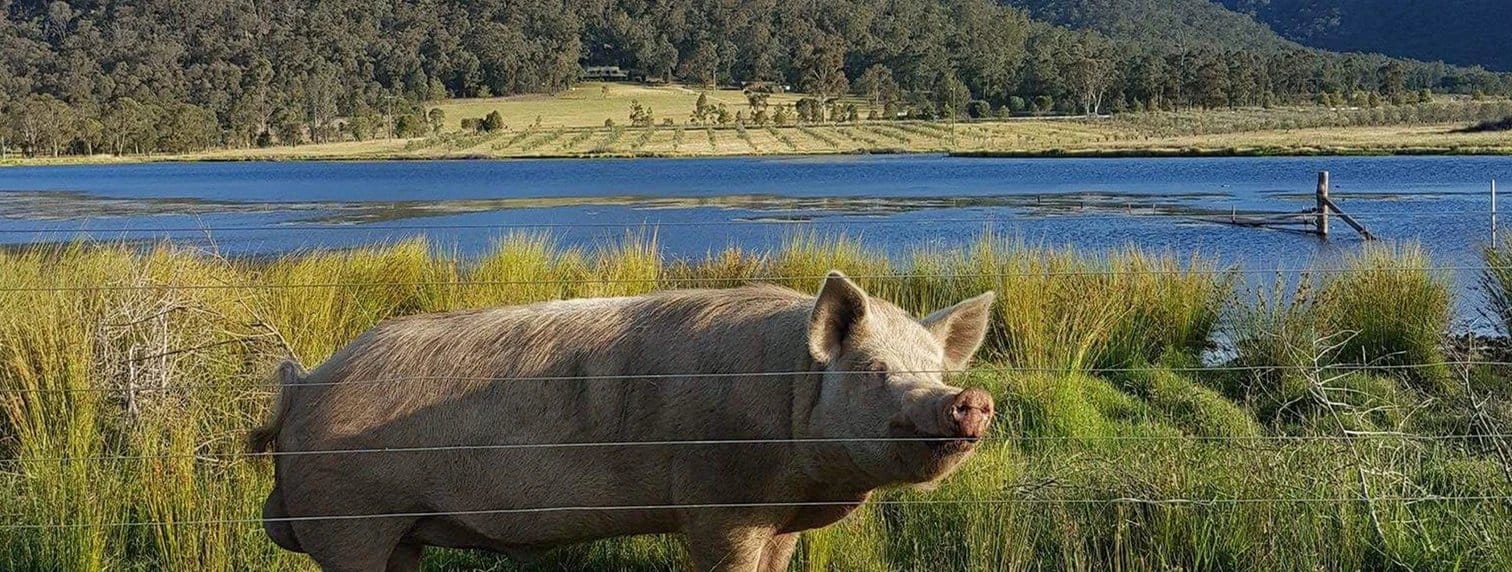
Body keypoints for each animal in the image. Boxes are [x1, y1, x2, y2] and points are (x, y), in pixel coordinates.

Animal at [248, 271, 996, 571]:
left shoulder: (782, 520)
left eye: (935, 368)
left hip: (398, 531)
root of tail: (302, 386)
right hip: (348, 517)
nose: (970, 398)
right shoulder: (717, 501)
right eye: (875, 372)